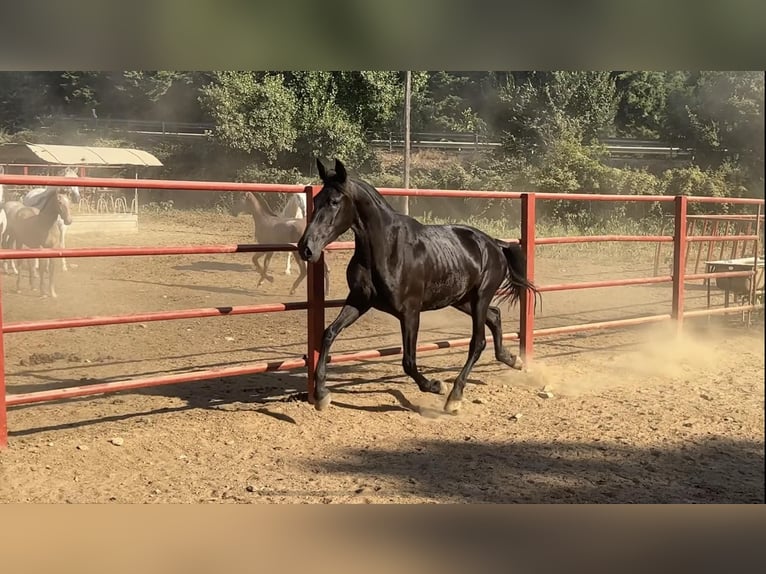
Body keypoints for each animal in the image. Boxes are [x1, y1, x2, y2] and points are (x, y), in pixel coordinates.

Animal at [296, 160, 544, 416]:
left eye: (334, 201)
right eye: (316, 200)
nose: (306, 248)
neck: (387, 249)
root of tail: (495, 244)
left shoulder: (410, 312)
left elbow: (408, 360)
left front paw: (435, 385)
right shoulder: (359, 301)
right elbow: (328, 334)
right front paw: (322, 395)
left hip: (481, 297)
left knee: (477, 342)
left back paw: (454, 397)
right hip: (463, 299)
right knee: (494, 316)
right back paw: (513, 360)